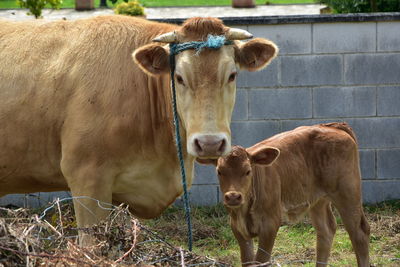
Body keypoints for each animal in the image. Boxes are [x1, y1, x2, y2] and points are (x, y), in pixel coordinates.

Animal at [198, 123, 370, 267]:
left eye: (247, 171)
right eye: (219, 171)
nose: (233, 196)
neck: (245, 211)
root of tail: (333, 126)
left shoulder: (270, 224)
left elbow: (261, 261)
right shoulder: (237, 228)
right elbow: (247, 261)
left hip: (348, 193)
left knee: (359, 233)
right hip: (317, 200)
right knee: (326, 230)